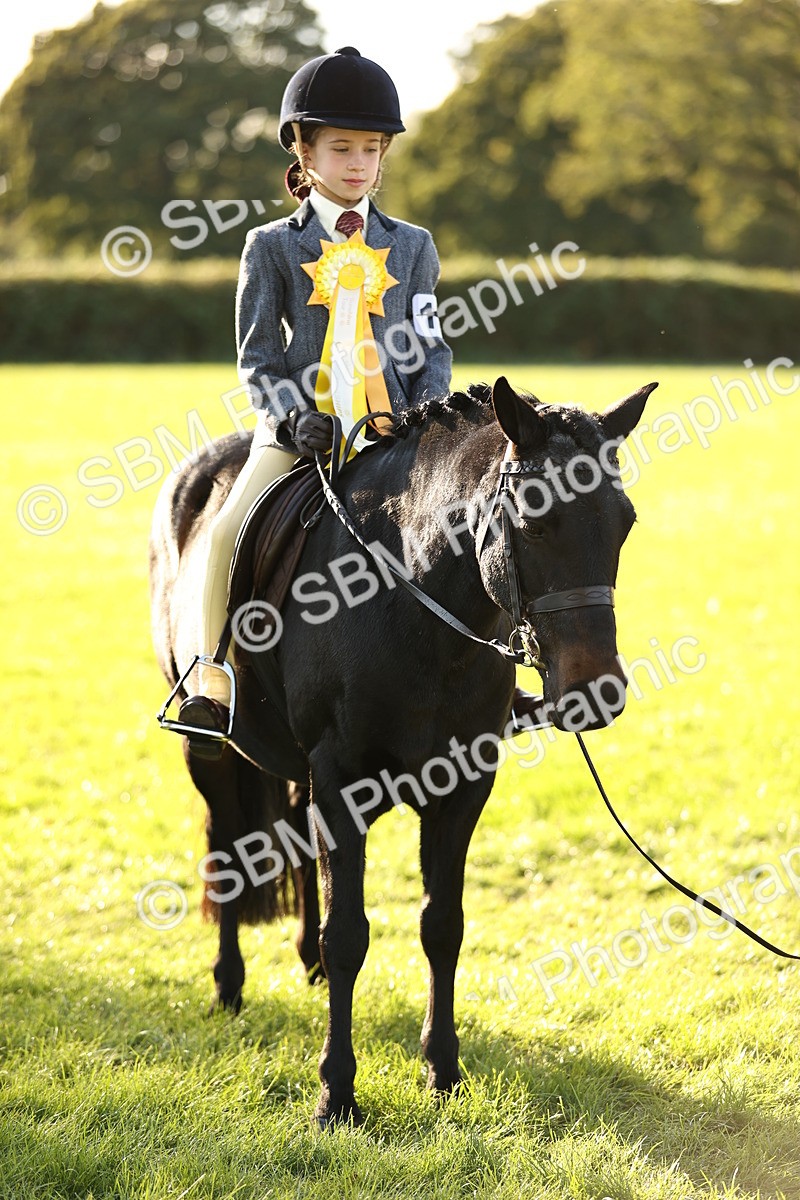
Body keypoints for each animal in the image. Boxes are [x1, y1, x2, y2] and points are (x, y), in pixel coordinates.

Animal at [149, 375, 656, 1125]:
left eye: (624, 522)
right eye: (534, 520)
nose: (596, 689)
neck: (413, 605)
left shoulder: (463, 786)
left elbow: (442, 925)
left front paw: (442, 1070)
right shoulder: (340, 781)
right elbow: (349, 934)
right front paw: (336, 1093)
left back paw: (303, 967)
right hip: (208, 749)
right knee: (226, 844)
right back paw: (228, 984)